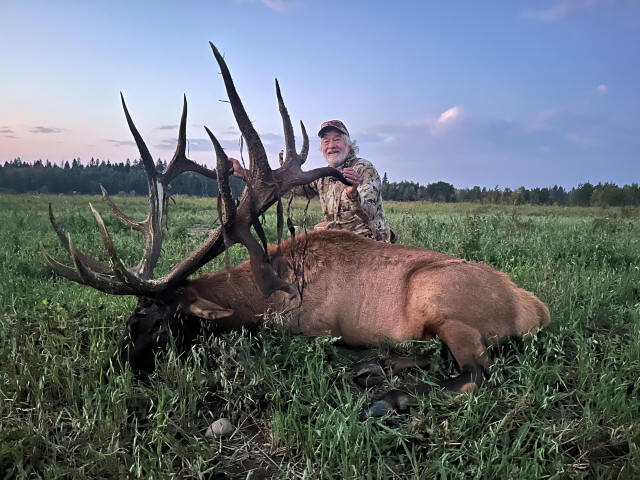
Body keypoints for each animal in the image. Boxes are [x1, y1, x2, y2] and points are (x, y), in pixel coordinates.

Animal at [43, 42, 551, 416]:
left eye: (146, 320)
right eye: (130, 318)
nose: (108, 369)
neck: (260, 299)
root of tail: (534, 309)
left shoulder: (304, 327)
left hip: (448, 307)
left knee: (475, 375)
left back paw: (383, 395)